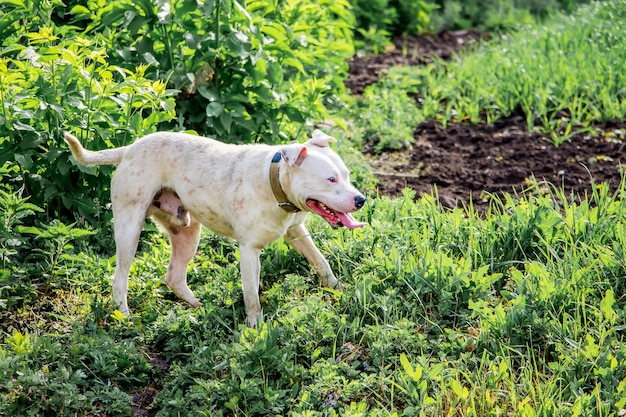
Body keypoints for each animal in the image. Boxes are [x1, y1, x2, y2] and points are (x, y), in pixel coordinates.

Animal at [62, 130, 366, 324]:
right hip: (129, 228)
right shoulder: (249, 251)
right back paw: (124, 316)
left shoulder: (297, 233)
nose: (361, 200)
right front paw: (256, 328)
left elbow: (321, 262)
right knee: (120, 277)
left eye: (347, 175)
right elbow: (252, 295)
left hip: (187, 232)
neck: (274, 181)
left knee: (173, 276)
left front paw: (338, 289)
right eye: (330, 179)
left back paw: (198, 305)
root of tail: (129, 149)